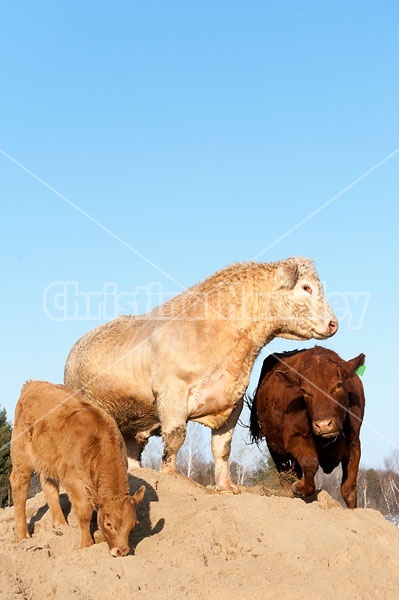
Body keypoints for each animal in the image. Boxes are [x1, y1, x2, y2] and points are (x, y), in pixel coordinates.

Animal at [10, 382, 146, 556]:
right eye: (108, 524)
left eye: (133, 524)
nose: (121, 551)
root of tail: (32, 383)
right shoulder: (72, 479)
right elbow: (84, 512)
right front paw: (87, 544)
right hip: (21, 455)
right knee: (19, 488)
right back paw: (23, 534)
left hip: (48, 458)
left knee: (49, 486)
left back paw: (60, 524)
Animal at [250, 346, 366, 506]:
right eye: (304, 390)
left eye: (339, 385)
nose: (323, 425)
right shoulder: (295, 438)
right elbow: (310, 464)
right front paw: (298, 487)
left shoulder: (354, 444)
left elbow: (349, 489)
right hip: (275, 448)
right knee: (285, 477)